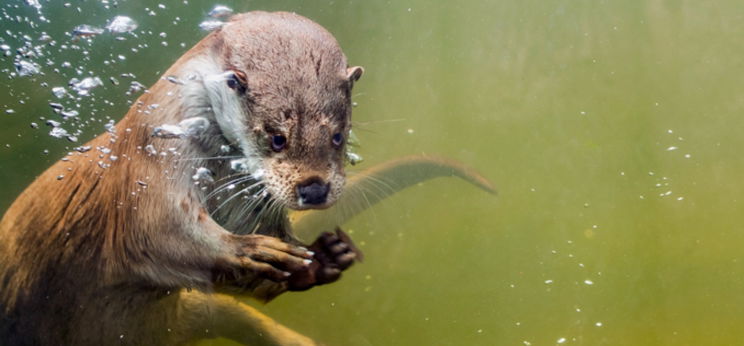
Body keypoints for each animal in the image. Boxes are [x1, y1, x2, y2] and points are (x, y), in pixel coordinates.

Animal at [1, 10, 500, 346]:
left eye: (338, 135)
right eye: (276, 137)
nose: (314, 188)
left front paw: (324, 256)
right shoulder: (149, 165)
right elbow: (157, 231)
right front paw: (251, 250)